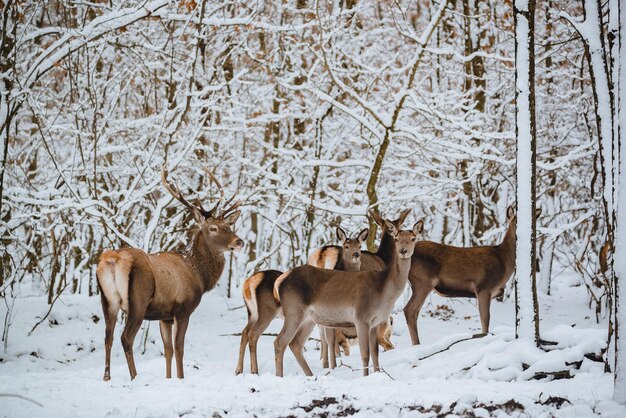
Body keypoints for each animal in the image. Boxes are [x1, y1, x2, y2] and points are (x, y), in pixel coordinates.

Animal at [96, 168, 243, 380]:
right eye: (213, 228)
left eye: (229, 226)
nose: (239, 241)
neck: (199, 276)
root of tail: (112, 259)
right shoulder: (183, 308)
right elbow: (179, 347)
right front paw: (181, 378)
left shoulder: (164, 315)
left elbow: (168, 349)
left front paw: (168, 378)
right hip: (137, 301)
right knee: (126, 338)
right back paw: (135, 376)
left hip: (108, 300)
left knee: (108, 337)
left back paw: (107, 377)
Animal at [272, 217, 420, 378]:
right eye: (396, 238)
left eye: (413, 238)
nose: (403, 251)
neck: (384, 291)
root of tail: (279, 281)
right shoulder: (361, 317)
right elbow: (365, 353)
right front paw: (365, 377)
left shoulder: (375, 322)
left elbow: (375, 353)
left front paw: (377, 374)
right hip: (294, 311)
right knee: (280, 341)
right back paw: (280, 376)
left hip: (309, 318)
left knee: (296, 343)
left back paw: (311, 375)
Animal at [402, 207, 540, 346]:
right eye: (514, 223)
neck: (504, 262)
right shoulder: (484, 288)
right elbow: (485, 320)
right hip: (422, 282)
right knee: (409, 310)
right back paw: (417, 345)